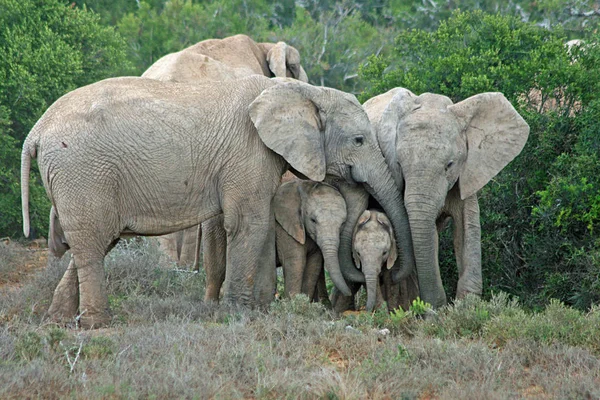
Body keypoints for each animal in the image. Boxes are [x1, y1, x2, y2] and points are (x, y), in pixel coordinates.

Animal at [21, 75, 410, 328]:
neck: (303, 91)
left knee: (96, 240)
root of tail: (35, 132)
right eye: (359, 140)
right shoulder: (248, 153)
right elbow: (249, 222)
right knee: (93, 242)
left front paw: (259, 310)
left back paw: (57, 321)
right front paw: (240, 315)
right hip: (83, 172)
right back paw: (98, 324)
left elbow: (259, 224)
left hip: (81, 178)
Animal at [360, 86, 528, 306]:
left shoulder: (467, 172)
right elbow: (423, 234)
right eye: (398, 165)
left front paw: (466, 306)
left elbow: (467, 227)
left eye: (449, 165)